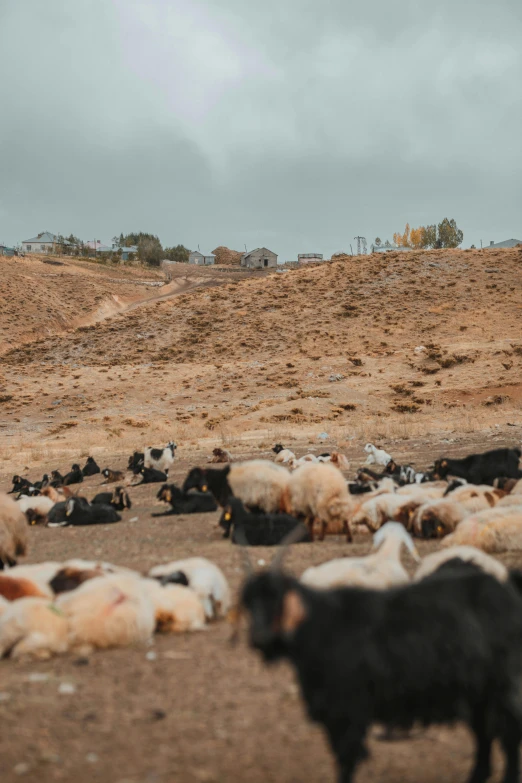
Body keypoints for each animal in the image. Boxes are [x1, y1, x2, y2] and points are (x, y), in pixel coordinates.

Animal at [242, 560, 520, 780]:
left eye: (277, 602)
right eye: (249, 604)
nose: (259, 638)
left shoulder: (347, 710)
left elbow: (346, 760)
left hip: (501, 690)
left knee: (507, 738)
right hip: (478, 694)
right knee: (486, 737)